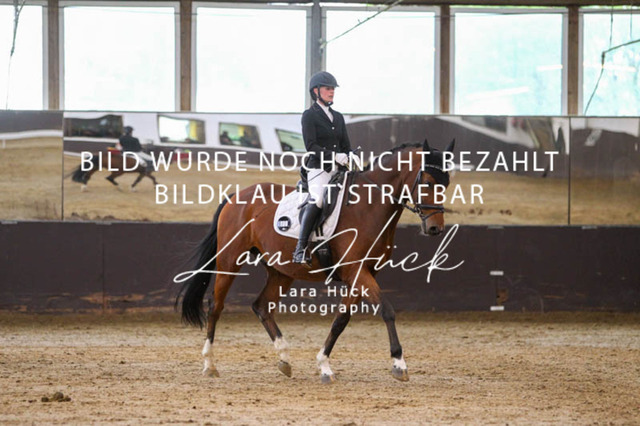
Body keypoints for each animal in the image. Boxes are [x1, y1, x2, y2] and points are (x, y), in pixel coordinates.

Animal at [175, 138, 455, 383]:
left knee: (261, 306)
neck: (369, 205)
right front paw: (399, 364)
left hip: (281, 271)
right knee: (216, 306)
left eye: (447, 183)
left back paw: (284, 359)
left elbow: (341, 320)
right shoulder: (356, 271)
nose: (435, 228)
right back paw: (209, 365)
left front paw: (324, 366)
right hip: (230, 260)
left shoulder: (362, 274)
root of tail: (235, 196)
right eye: (427, 182)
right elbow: (386, 310)